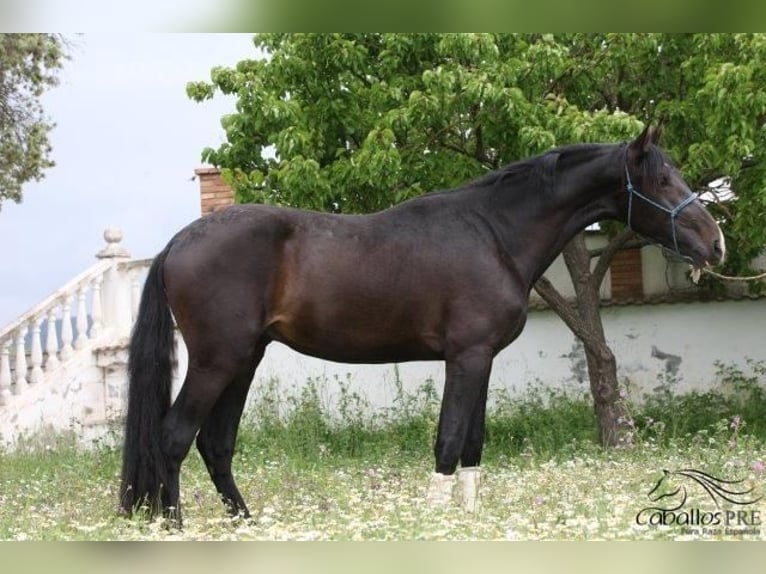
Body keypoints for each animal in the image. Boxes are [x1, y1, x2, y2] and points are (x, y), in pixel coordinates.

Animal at [118, 127, 728, 528]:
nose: (716, 243)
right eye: (663, 179)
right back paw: (173, 527)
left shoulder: (482, 359)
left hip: (244, 359)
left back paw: (245, 523)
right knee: (174, 437)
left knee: (216, 444)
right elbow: (450, 438)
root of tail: (179, 242)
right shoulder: (467, 356)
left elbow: (474, 443)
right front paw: (436, 522)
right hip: (218, 361)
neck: (494, 232)